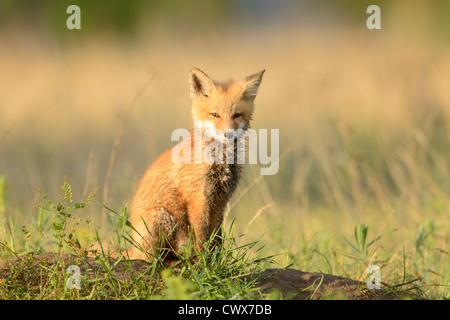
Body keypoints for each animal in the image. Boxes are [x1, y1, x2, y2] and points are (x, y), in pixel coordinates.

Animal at [126, 67, 264, 264]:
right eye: (215, 115)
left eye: (237, 115)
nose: (228, 133)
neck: (218, 160)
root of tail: (131, 251)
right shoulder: (198, 200)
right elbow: (202, 238)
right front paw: (204, 263)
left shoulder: (220, 201)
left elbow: (216, 240)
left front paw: (216, 263)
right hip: (161, 217)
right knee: (153, 259)